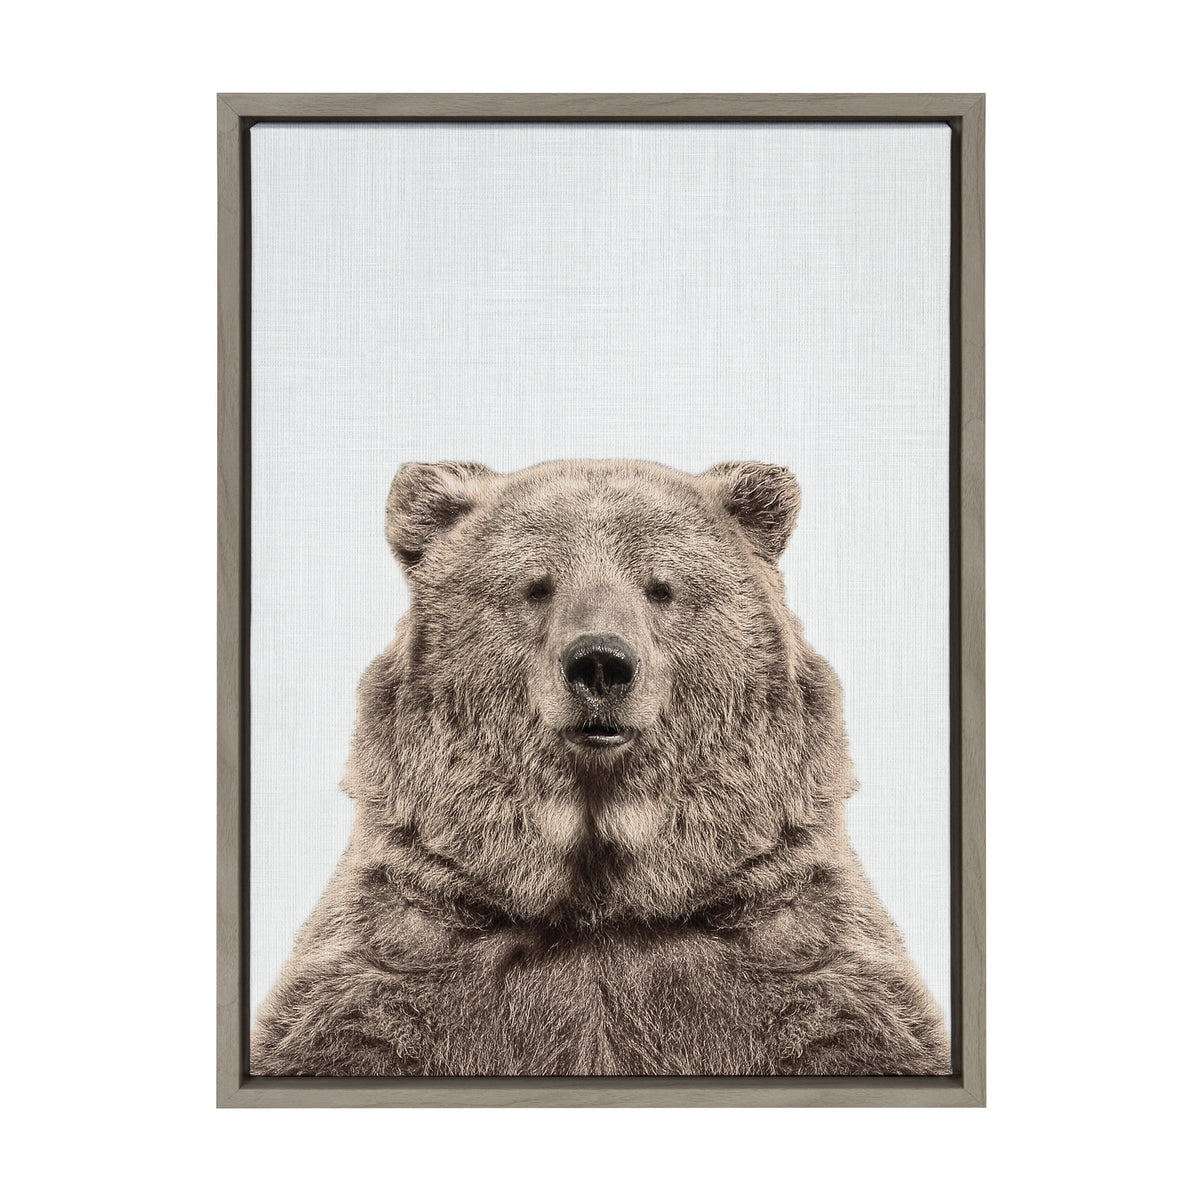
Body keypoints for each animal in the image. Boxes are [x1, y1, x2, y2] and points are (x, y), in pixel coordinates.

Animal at [251, 459, 950, 1076]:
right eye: (536, 586)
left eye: (660, 587)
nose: (600, 664)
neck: (602, 898)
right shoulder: (403, 946)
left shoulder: (793, 944)